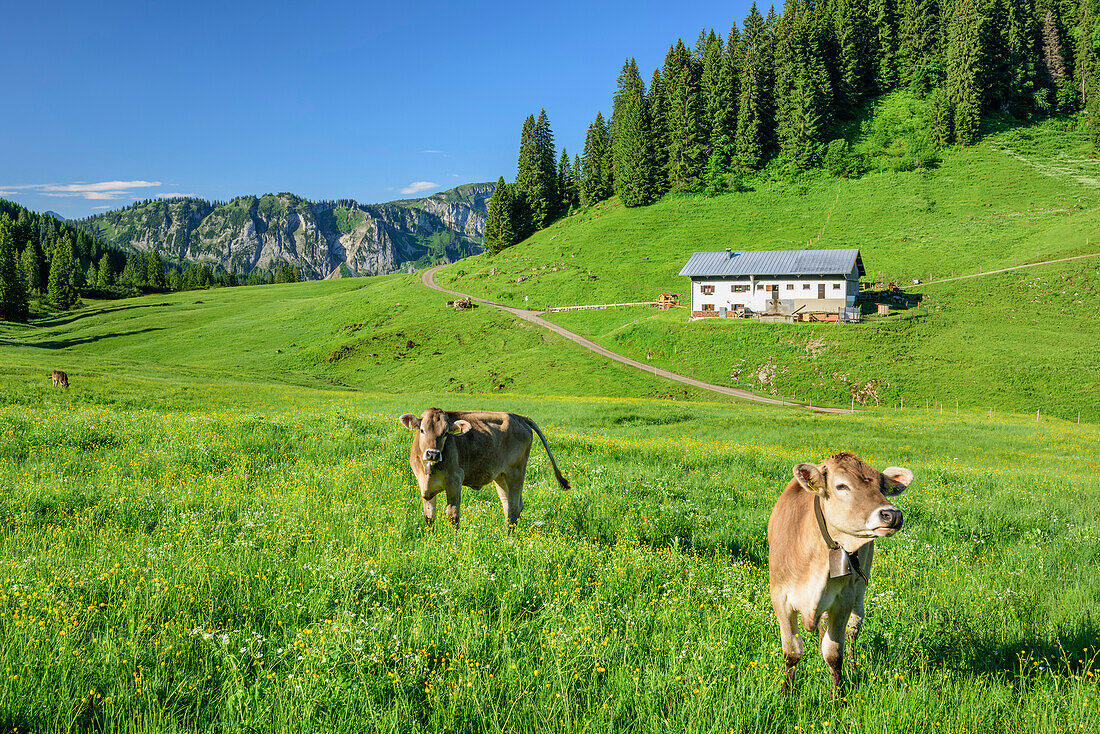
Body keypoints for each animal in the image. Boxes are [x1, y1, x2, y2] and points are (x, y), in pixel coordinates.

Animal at [398, 411, 572, 530]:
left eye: (446, 433)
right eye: (422, 430)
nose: (433, 453)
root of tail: (519, 417)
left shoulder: (455, 481)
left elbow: (453, 515)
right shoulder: (424, 486)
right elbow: (429, 516)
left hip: (516, 472)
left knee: (513, 508)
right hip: (501, 476)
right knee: (510, 505)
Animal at [765, 451, 910, 699]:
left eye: (881, 487)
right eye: (841, 486)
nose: (892, 515)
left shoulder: (843, 599)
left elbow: (834, 654)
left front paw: (837, 697)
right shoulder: (780, 598)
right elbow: (792, 652)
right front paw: (787, 693)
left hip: (860, 584)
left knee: (853, 628)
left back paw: (852, 666)